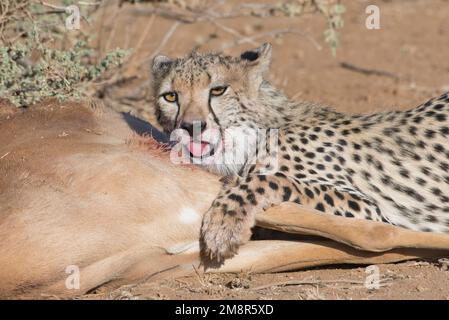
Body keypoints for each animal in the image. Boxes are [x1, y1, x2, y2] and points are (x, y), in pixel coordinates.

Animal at [151, 43, 448, 266]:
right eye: (170, 97)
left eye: (218, 90)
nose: (190, 126)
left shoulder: (372, 209)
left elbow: (268, 179)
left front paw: (224, 224)